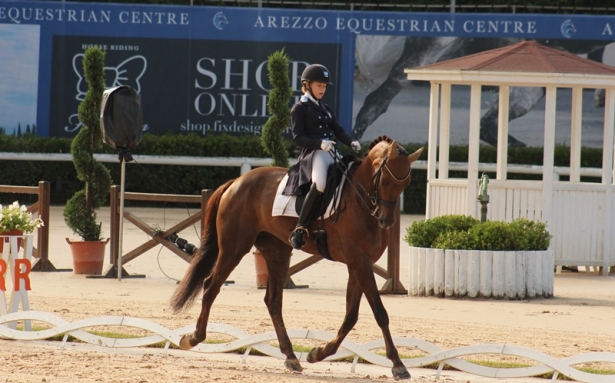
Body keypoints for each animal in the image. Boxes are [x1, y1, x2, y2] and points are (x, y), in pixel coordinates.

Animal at [171, 136, 426, 380]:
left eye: (406, 183)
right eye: (384, 181)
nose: (386, 220)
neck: (361, 201)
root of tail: (235, 182)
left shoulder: (359, 264)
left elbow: (351, 316)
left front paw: (318, 353)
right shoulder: (359, 262)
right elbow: (379, 313)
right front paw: (398, 365)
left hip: (277, 251)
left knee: (273, 300)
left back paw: (291, 356)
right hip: (235, 247)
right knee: (211, 286)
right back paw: (193, 338)